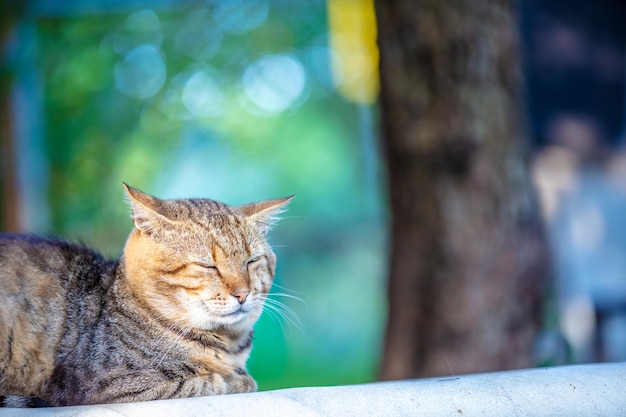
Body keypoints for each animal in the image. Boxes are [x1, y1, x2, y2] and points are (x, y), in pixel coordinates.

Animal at [0, 184, 292, 404]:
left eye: (251, 262)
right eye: (208, 266)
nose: (242, 293)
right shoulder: (106, 385)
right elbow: (209, 382)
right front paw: (235, 379)